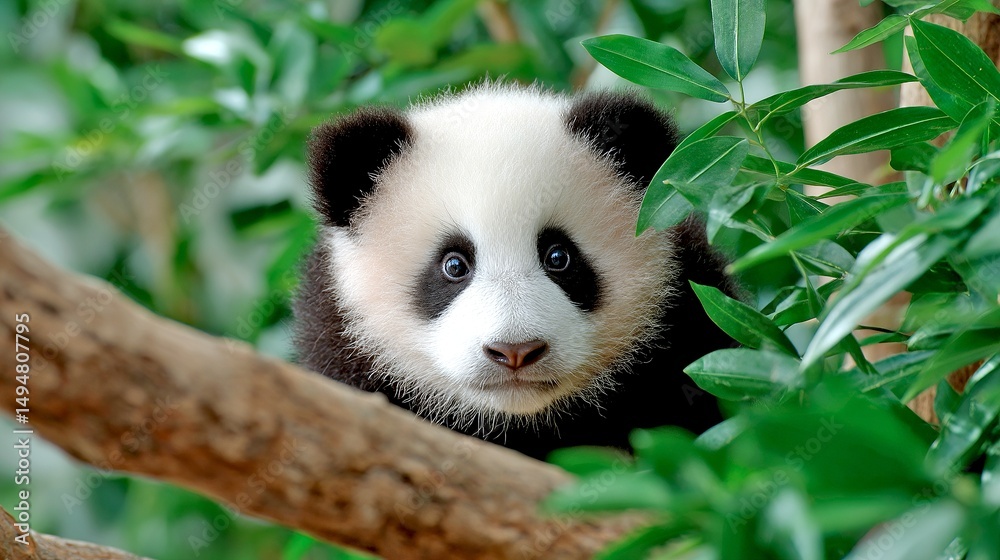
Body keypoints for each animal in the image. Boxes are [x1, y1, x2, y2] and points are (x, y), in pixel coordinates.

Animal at [294, 83, 735, 459]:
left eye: (558, 257)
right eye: (454, 265)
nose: (515, 351)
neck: (519, 421)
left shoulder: (686, 314)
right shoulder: (342, 352)